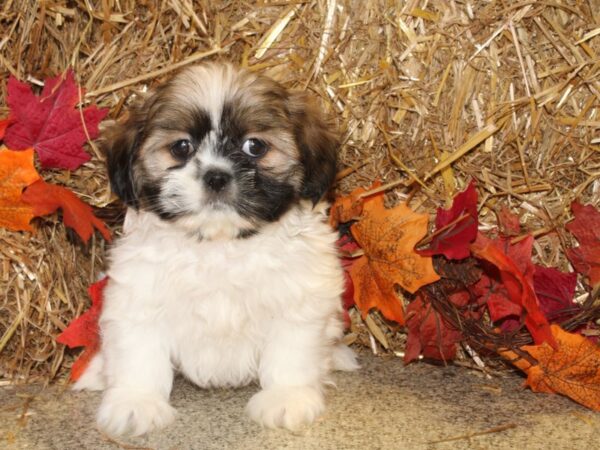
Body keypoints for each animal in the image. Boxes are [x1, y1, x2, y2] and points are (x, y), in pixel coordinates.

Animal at [74, 62, 356, 436]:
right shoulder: (139, 295)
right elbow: (139, 352)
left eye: (255, 147)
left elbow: (291, 351)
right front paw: (136, 402)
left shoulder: (299, 298)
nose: (216, 176)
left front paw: (287, 397)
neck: (220, 245)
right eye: (181, 147)